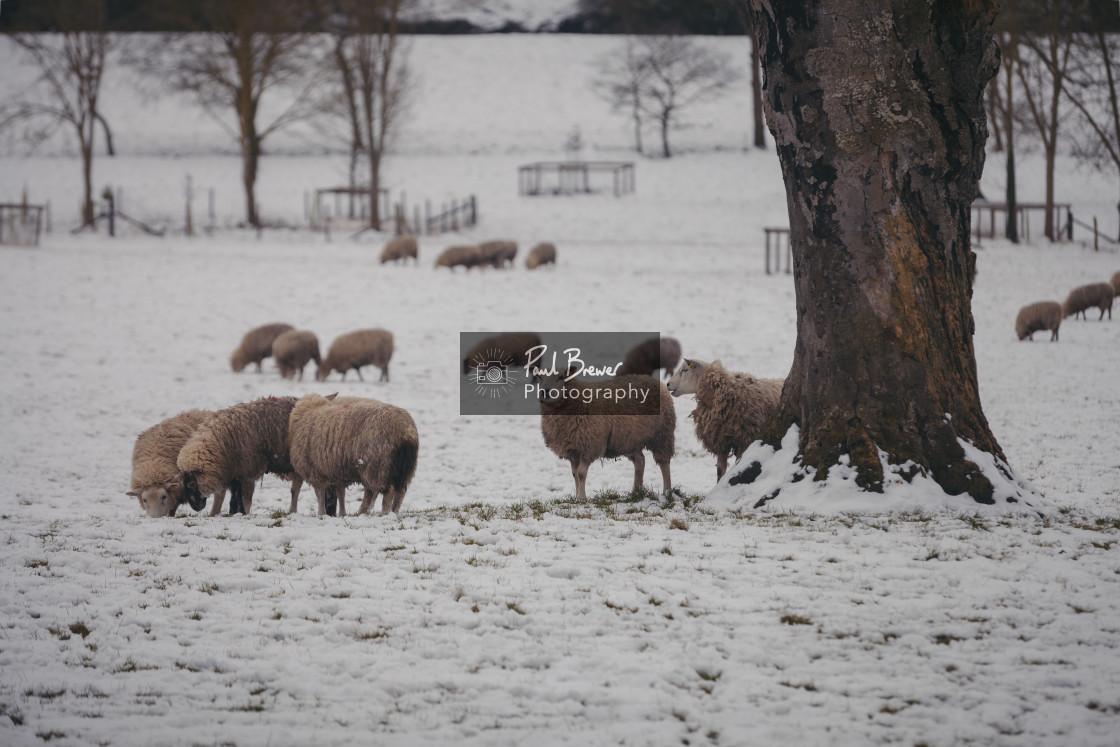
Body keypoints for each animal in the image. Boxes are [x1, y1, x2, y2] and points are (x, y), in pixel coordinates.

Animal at [176, 396, 304, 515]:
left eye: (191, 484)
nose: (196, 508)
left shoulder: (248, 472)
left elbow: (245, 499)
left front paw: (243, 513)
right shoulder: (235, 474)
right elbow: (234, 499)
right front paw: (233, 513)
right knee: (296, 487)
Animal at [288, 391, 421, 515]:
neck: (310, 412)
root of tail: (405, 430)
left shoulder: (314, 470)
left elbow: (319, 494)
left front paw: (321, 513)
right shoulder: (337, 470)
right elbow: (340, 493)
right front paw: (342, 513)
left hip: (378, 467)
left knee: (387, 492)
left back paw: (383, 513)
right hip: (405, 468)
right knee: (400, 492)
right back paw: (392, 512)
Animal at [539, 371, 676, 501]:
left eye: (561, 377)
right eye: (540, 377)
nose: (544, 392)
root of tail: (655, 381)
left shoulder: (589, 446)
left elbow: (581, 473)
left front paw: (581, 498)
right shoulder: (573, 449)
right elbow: (575, 474)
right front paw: (577, 496)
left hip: (662, 435)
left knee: (664, 464)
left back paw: (667, 491)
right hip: (629, 439)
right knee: (640, 461)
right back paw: (636, 492)